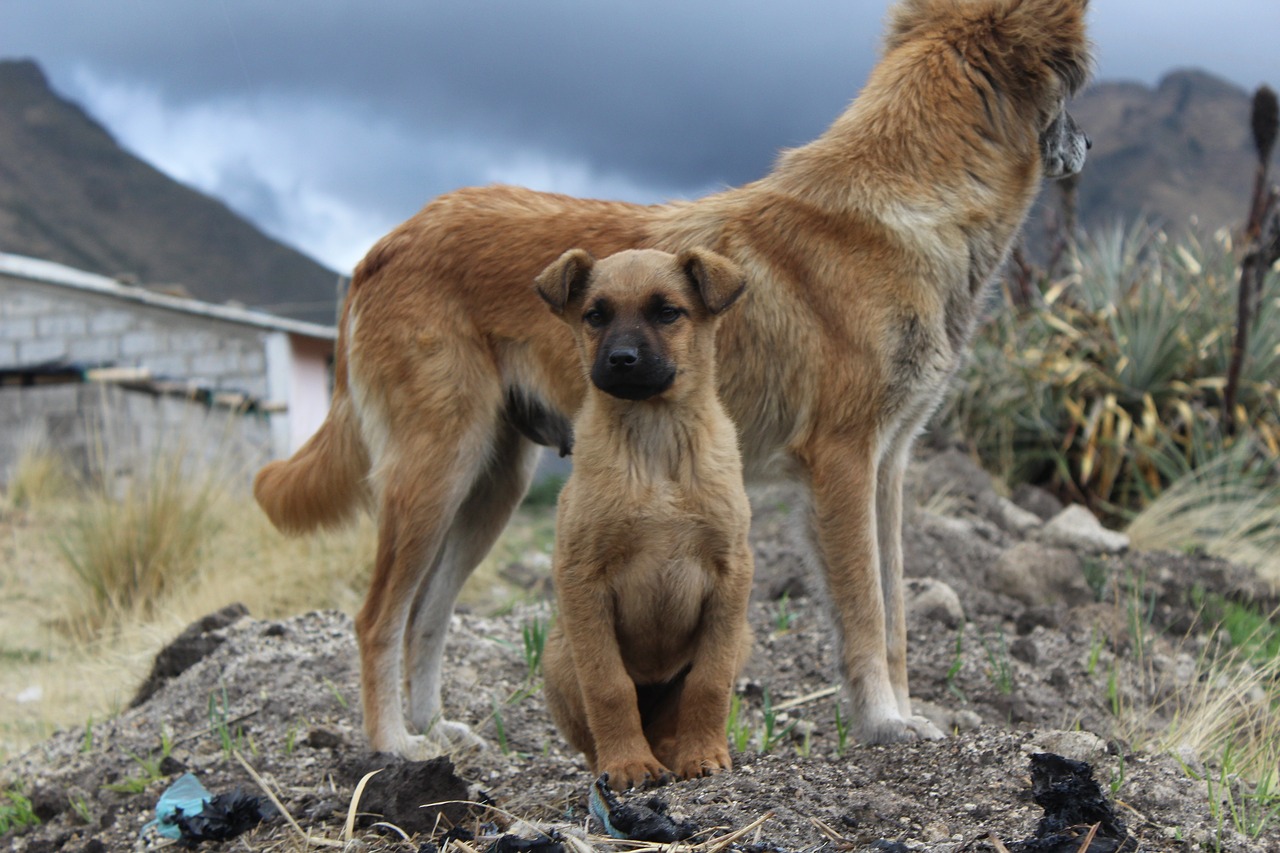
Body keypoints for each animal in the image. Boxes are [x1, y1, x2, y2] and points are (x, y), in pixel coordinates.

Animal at [535, 242, 752, 788]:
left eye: (668, 312)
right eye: (596, 316)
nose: (622, 360)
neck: (656, 442)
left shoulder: (732, 575)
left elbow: (709, 682)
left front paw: (704, 755)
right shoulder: (581, 578)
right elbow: (609, 686)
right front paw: (628, 765)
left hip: (743, 636)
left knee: (676, 711)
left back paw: (677, 753)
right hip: (559, 656)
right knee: (596, 731)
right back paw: (625, 762)